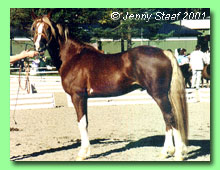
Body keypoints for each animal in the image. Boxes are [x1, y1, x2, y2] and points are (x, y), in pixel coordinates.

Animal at [31, 11, 188, 161]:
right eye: (34, 28)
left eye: (47, 28)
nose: (39, 47)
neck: (73, 57)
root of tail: (164, 52)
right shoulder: (84, 98)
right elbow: (86, 122)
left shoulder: (78, 96)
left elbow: (81, 123)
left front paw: (82, 153)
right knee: (168, 120)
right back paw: (166, 152)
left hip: (159, 94)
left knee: (170, 118)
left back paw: (177, 154)